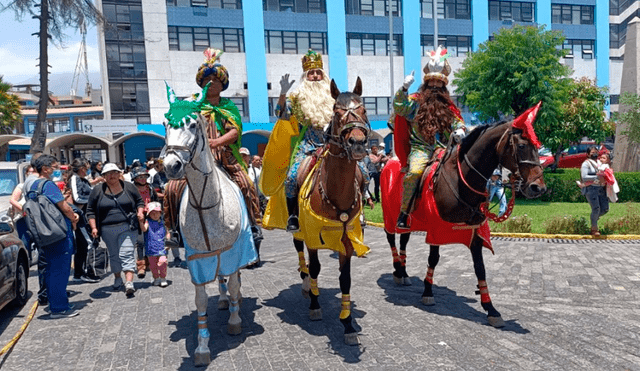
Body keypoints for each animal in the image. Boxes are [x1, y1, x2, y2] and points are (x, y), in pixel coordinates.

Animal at [162, 82, 258, 366]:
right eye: (165, 124)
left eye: (193, 124)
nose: (171, 165)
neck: (208, 204)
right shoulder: (198, 259)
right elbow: (201, 301)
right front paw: (202, 346)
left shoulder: (236, 251)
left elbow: (235, 282)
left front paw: (235, 321)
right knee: (222, 278)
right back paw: (224, 301)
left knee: (231, 277)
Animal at [292, 77, 370, 346]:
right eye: (336, 112)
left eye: (364, 109)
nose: (357, 143)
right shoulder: (313, 236)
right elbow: (315, 267)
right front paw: (315, 304)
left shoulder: (346, 239)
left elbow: (345, 278)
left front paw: (347, 324)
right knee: (299, 249)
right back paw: (305, 283)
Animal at [380, 117, 544, 328]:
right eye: (522, 146)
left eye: (537, 146)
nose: (538, 187)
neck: (462, 180)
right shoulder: (436, 228)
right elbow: (433, 259)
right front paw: (427, 291)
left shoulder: (474, 231)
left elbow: (480, 268)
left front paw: (491, 308)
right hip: (389, 215)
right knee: (391, 238)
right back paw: (397, 270)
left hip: (410, 220)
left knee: (404, 240)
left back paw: (404, 272)